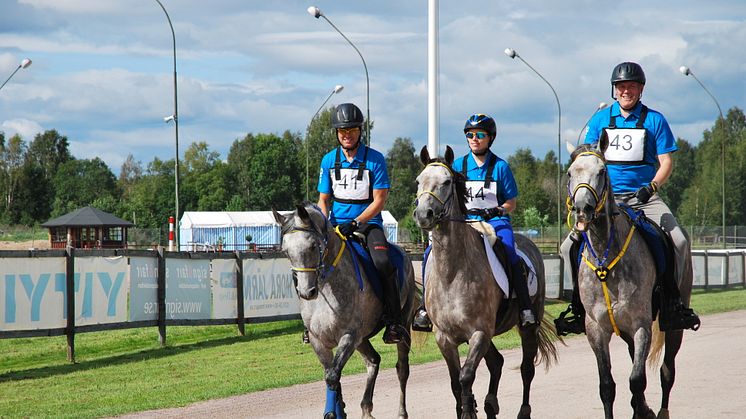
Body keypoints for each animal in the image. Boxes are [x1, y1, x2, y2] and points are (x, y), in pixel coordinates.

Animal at [272, 205, 416, 419]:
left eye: (313, 246)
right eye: (285, 251)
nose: (307, 292)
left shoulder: (348, 335)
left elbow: (332, 376)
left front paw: (333, 412)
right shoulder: (318, 340)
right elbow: (331, 374)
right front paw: (339, 410)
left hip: (400, 326)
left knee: (402, 369)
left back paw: (401, 412)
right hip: (362, 338)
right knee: (373, 361)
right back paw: (366, 408)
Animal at [410, 145, 556, 419]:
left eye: (447, 182)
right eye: (418, 181)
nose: (424, 214)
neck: (452, 273)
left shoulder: (479, 332)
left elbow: (466, 376)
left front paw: (470, 410)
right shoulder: (445, 338)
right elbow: (456, 383)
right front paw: (470, 407)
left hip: (526, 327)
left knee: (526, 369)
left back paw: (522, 411)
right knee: (496, 362)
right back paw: (490, 404)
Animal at [564, 142, 692, 419]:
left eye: (602, 171)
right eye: (569, 172)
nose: (582, 209)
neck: (605, 255)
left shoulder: (641, 324)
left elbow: (637, 380)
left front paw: (642, 410)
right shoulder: (596, 329)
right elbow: (607, 386)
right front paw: (637, 408)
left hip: (673, 326)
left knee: (667, 371)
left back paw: (660, 411)